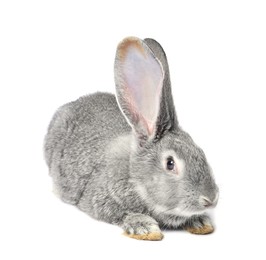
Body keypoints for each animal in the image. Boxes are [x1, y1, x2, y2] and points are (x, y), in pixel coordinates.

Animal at [44, 36, 218, 240]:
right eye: (170, 163)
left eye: (201, 152)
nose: (210, 199)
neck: (135, 176)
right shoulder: (102, 200)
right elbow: (122, 214)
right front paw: (145, 227)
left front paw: (200, 222)